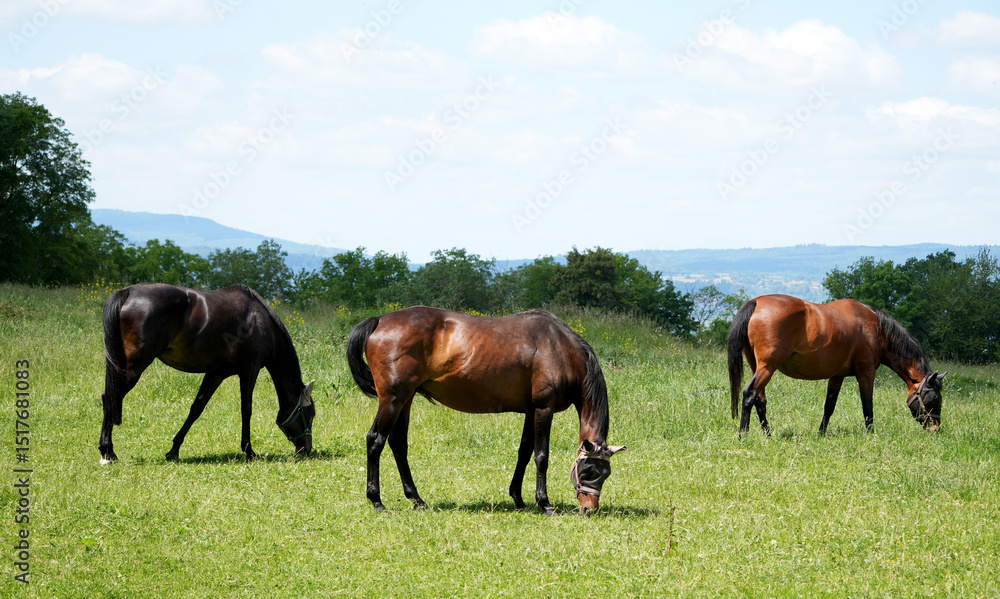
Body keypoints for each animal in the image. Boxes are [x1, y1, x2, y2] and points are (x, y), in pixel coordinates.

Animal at [100, 283, 315, 464]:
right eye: (310, 413)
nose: (306, 449)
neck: (260, 319)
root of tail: (127, 292)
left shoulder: (216, 373)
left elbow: (196, 408)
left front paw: (174, 450)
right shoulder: (250, 369)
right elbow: (246, 409)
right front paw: (249, 450)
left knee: (109, 397)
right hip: (133, 367)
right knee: (111, 397)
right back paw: (108, 452)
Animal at [346, 306, 626, 515]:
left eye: (606, 474)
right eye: (588, 471)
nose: (589, 509)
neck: (560, 348)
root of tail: (379, 320)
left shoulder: (530, 411)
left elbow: (524, 452)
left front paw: (518, 499)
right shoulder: (543, 409)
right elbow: (541, 456)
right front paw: (544, 503)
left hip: (406, 399)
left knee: (398, 444)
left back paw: (417, 500)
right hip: (393, 399)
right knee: (376, 440)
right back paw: (377, 500)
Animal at [727, 294, 945, 435]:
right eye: (933, 398)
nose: (935, 428)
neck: (876, 329)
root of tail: (756, 303)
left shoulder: (837, 375)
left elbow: (829, 406)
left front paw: (821, 433)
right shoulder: (866, 373)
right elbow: (868, 406)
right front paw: (871, 434)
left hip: (758, 366)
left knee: (760, 399)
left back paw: (768, 435)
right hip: (767, 367)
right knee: (749, 394)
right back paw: (743, 435)